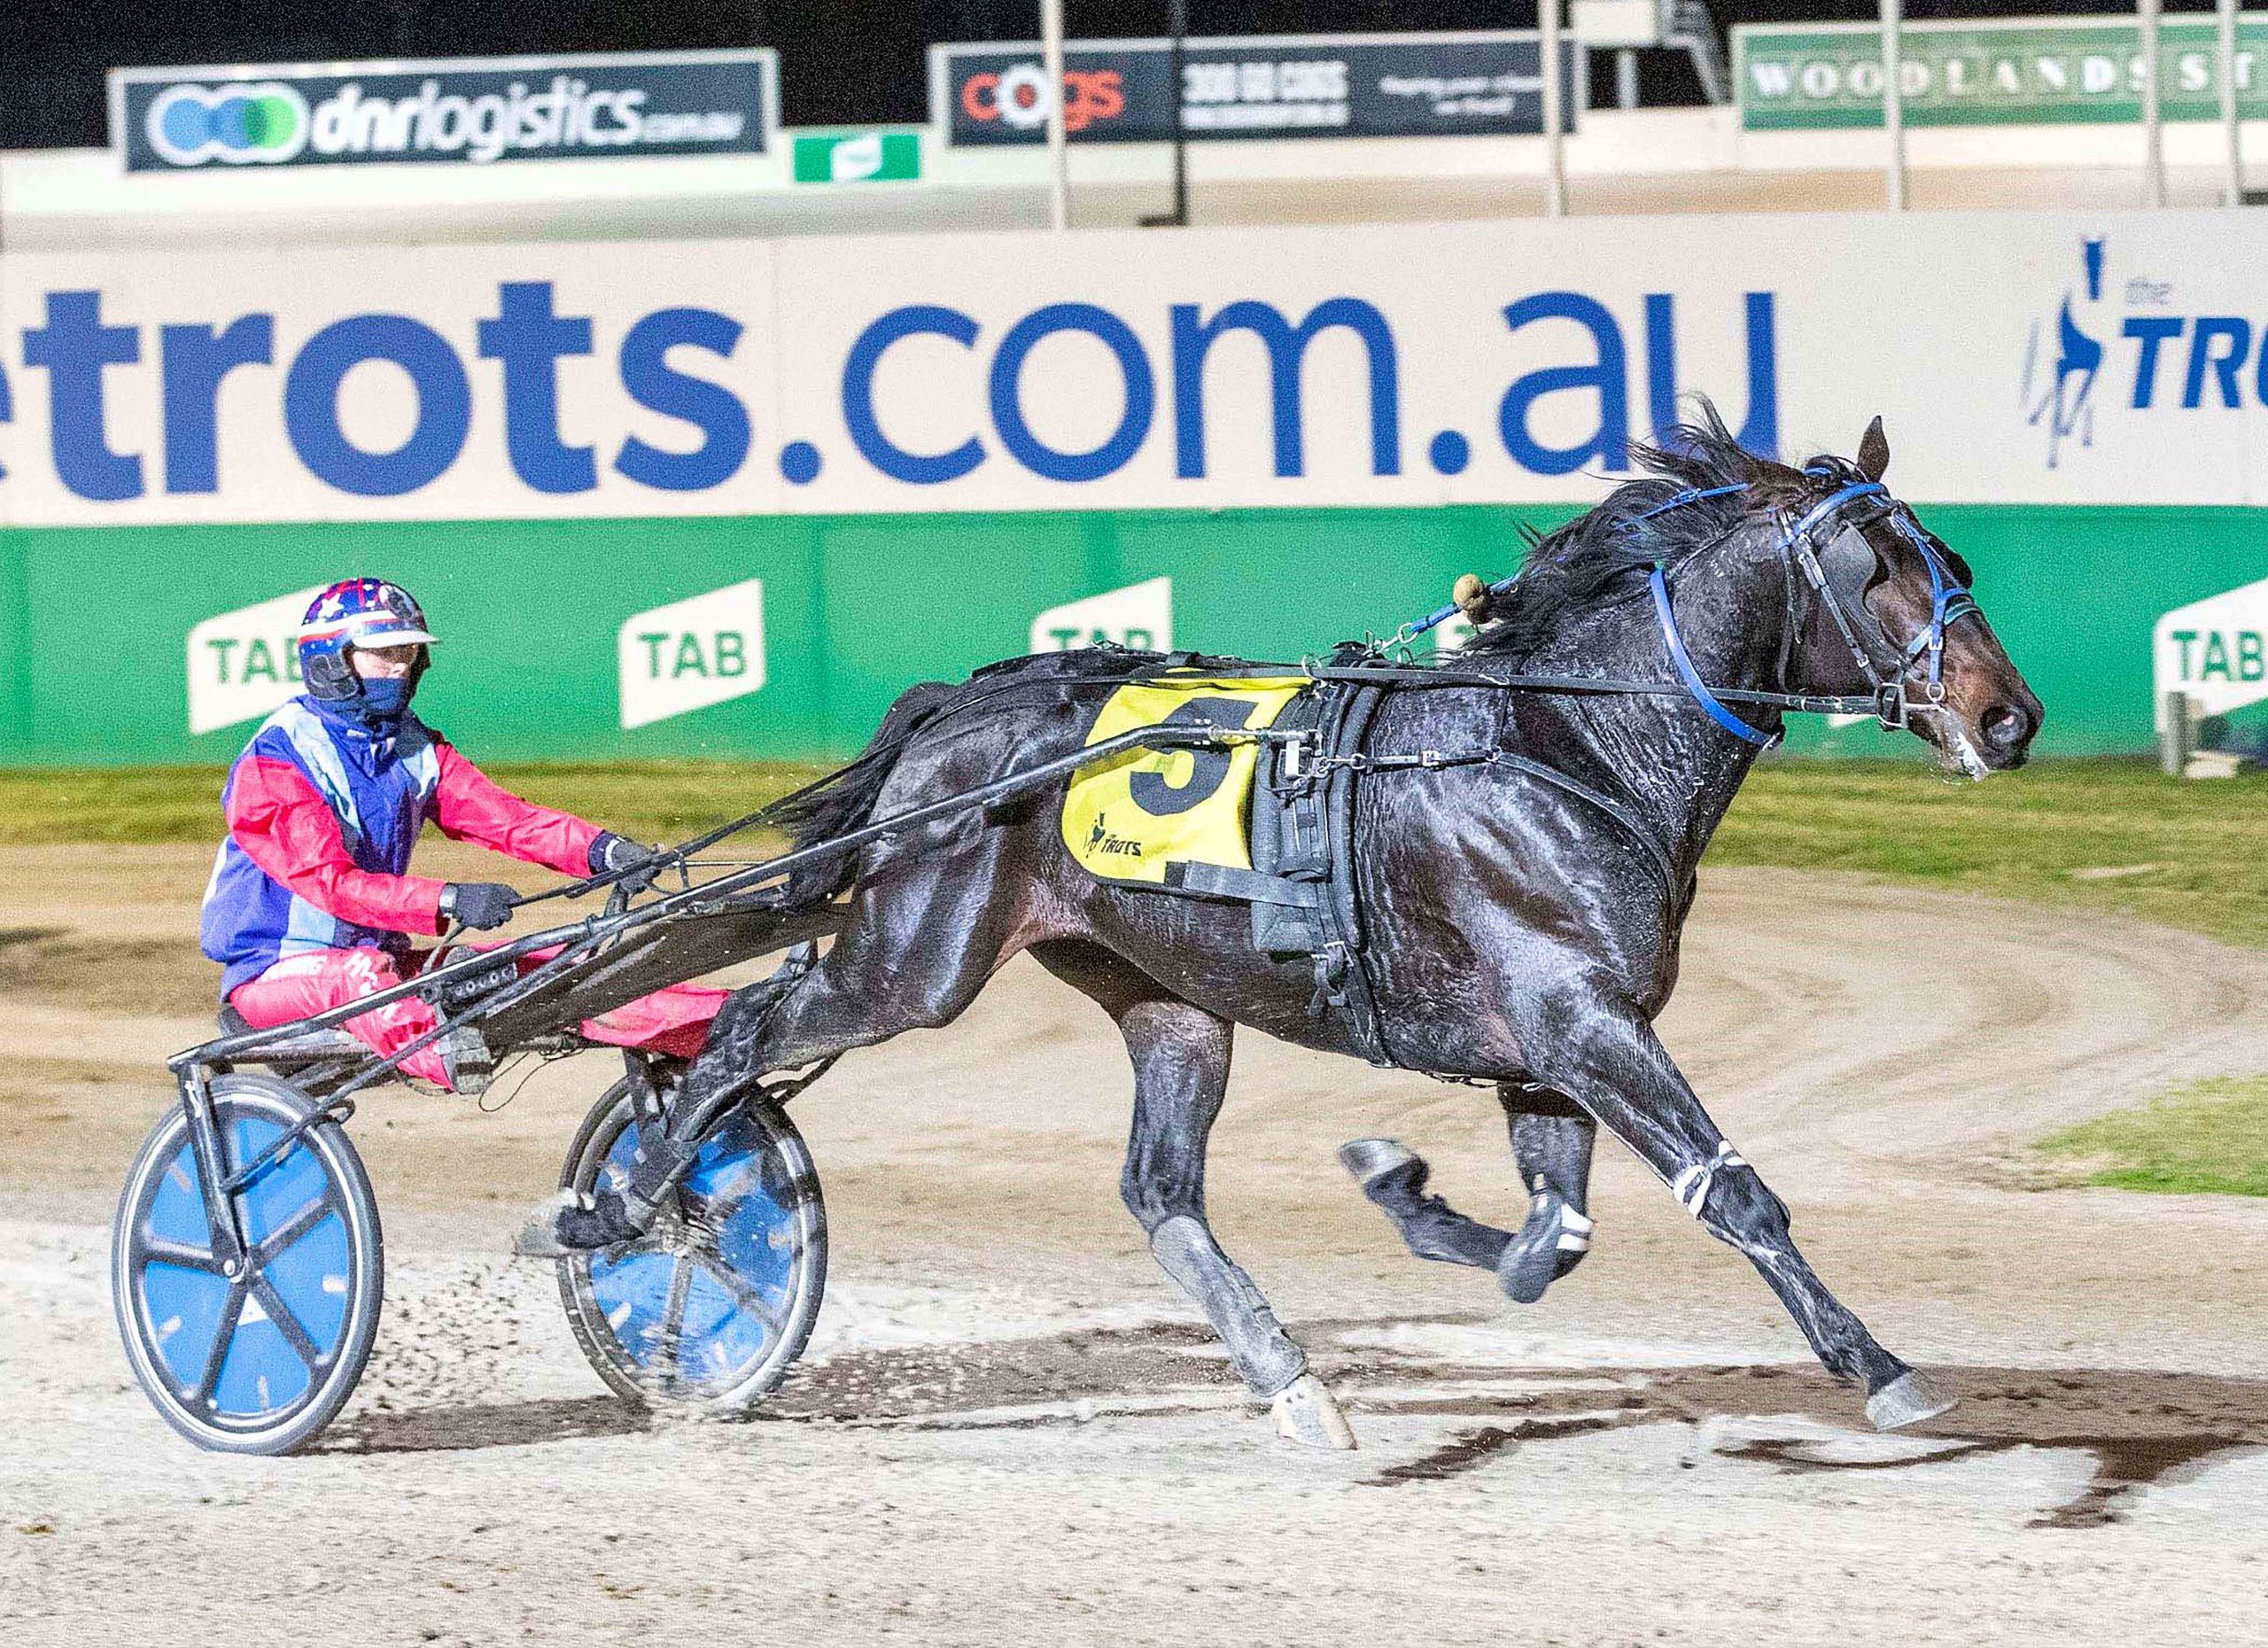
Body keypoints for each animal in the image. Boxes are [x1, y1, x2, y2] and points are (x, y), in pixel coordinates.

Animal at [525, 410, 2041, 1442]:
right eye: (1881, 567)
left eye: (1950, 552)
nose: (2009, 717)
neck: (1564, 744)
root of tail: (958, 712)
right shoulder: (1584, 1025)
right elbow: (1733, 1193)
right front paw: (1883, 1370)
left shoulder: (1549, 1051)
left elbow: (1553, 1239)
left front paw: (1400, 1186)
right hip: (914, 958)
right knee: (739, 1033)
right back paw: (626, 1204)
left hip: (1166, 1000)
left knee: (1159, 1191)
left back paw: (1289, 1378)